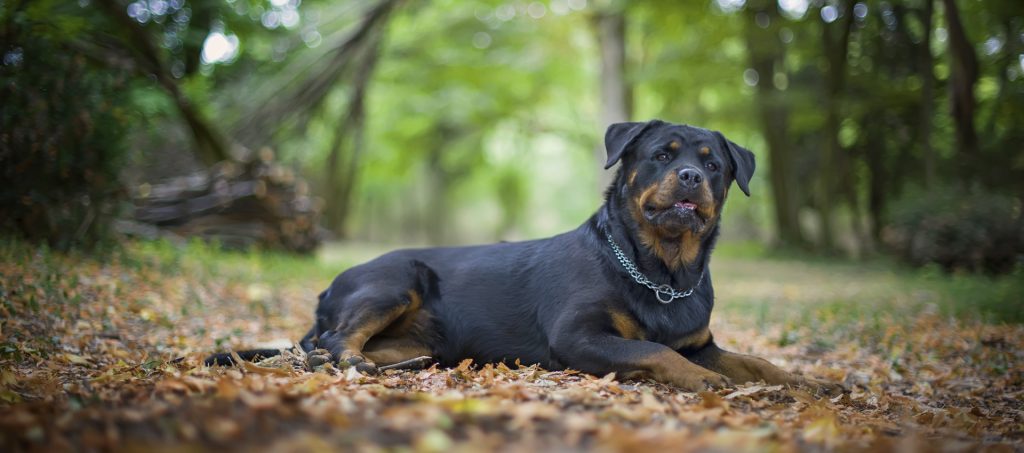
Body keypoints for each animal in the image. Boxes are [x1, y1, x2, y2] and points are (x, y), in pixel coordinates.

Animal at [205, 119, 839, 393]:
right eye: (663, 154)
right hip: (395, 278)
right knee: (334, 343)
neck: (661, 270)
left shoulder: (701, 341)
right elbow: (655, 351)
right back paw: (353, 364)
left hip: (424, 337)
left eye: (715, 165)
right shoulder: (579, 336)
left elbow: (753, 361)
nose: (690, 177)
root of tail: (324, 291)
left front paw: (808, 380)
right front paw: (706, 383)